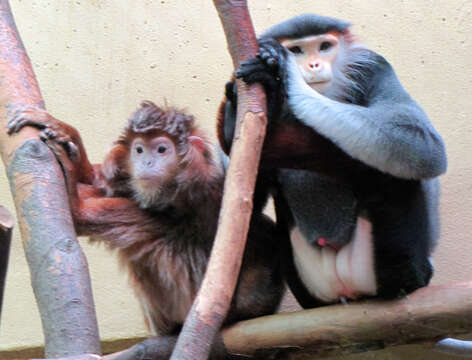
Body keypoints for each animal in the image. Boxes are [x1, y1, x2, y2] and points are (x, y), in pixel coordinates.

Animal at [8, 101, 284, 358]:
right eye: (139, 149)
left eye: (162, 149)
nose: (147, 162)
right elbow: (105, 184)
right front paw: (66, 135)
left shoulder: (208, 193)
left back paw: (76, 207)